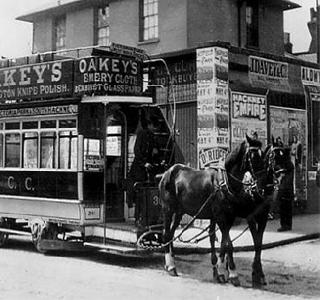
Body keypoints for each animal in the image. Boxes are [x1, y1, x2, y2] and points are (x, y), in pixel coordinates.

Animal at [158, 135, 288, 288]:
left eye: (286, 155)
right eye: (254, 156)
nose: (283, 177)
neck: (226, 183)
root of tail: (169, 171)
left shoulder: (237, 217)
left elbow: (229, 244)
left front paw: (221, 272)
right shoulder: (230, 217)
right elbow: (230, 245)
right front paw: (233, 274)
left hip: (179, 211)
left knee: (171, 234)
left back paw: (170, 264)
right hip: (168, 209)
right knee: (166, 234)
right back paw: (171, 266)